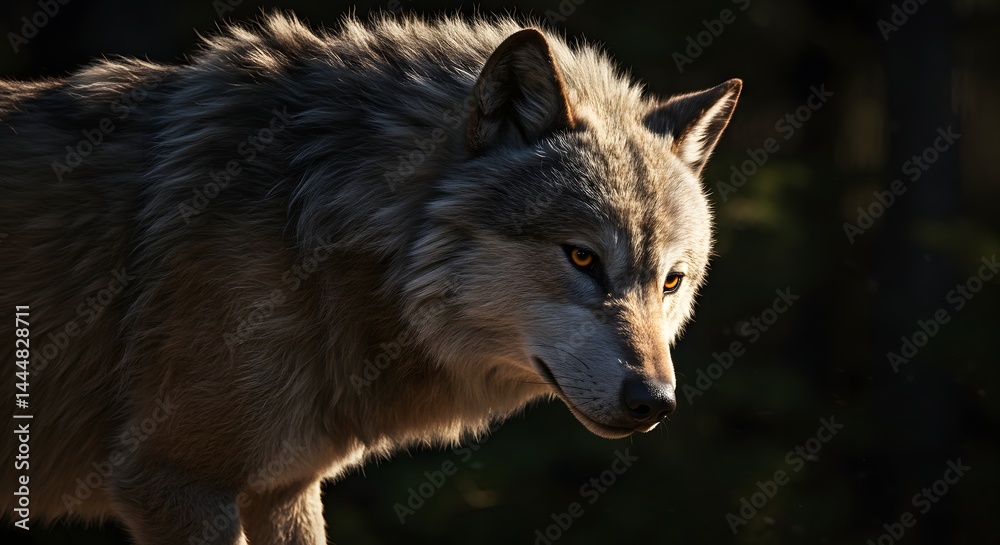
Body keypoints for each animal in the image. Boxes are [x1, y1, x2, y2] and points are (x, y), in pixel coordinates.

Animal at [0, 12, 740, 544]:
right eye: (583, 258)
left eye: (670, 282)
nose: (654, 402)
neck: (319, 225)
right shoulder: (174, 480)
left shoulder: (284, 488)